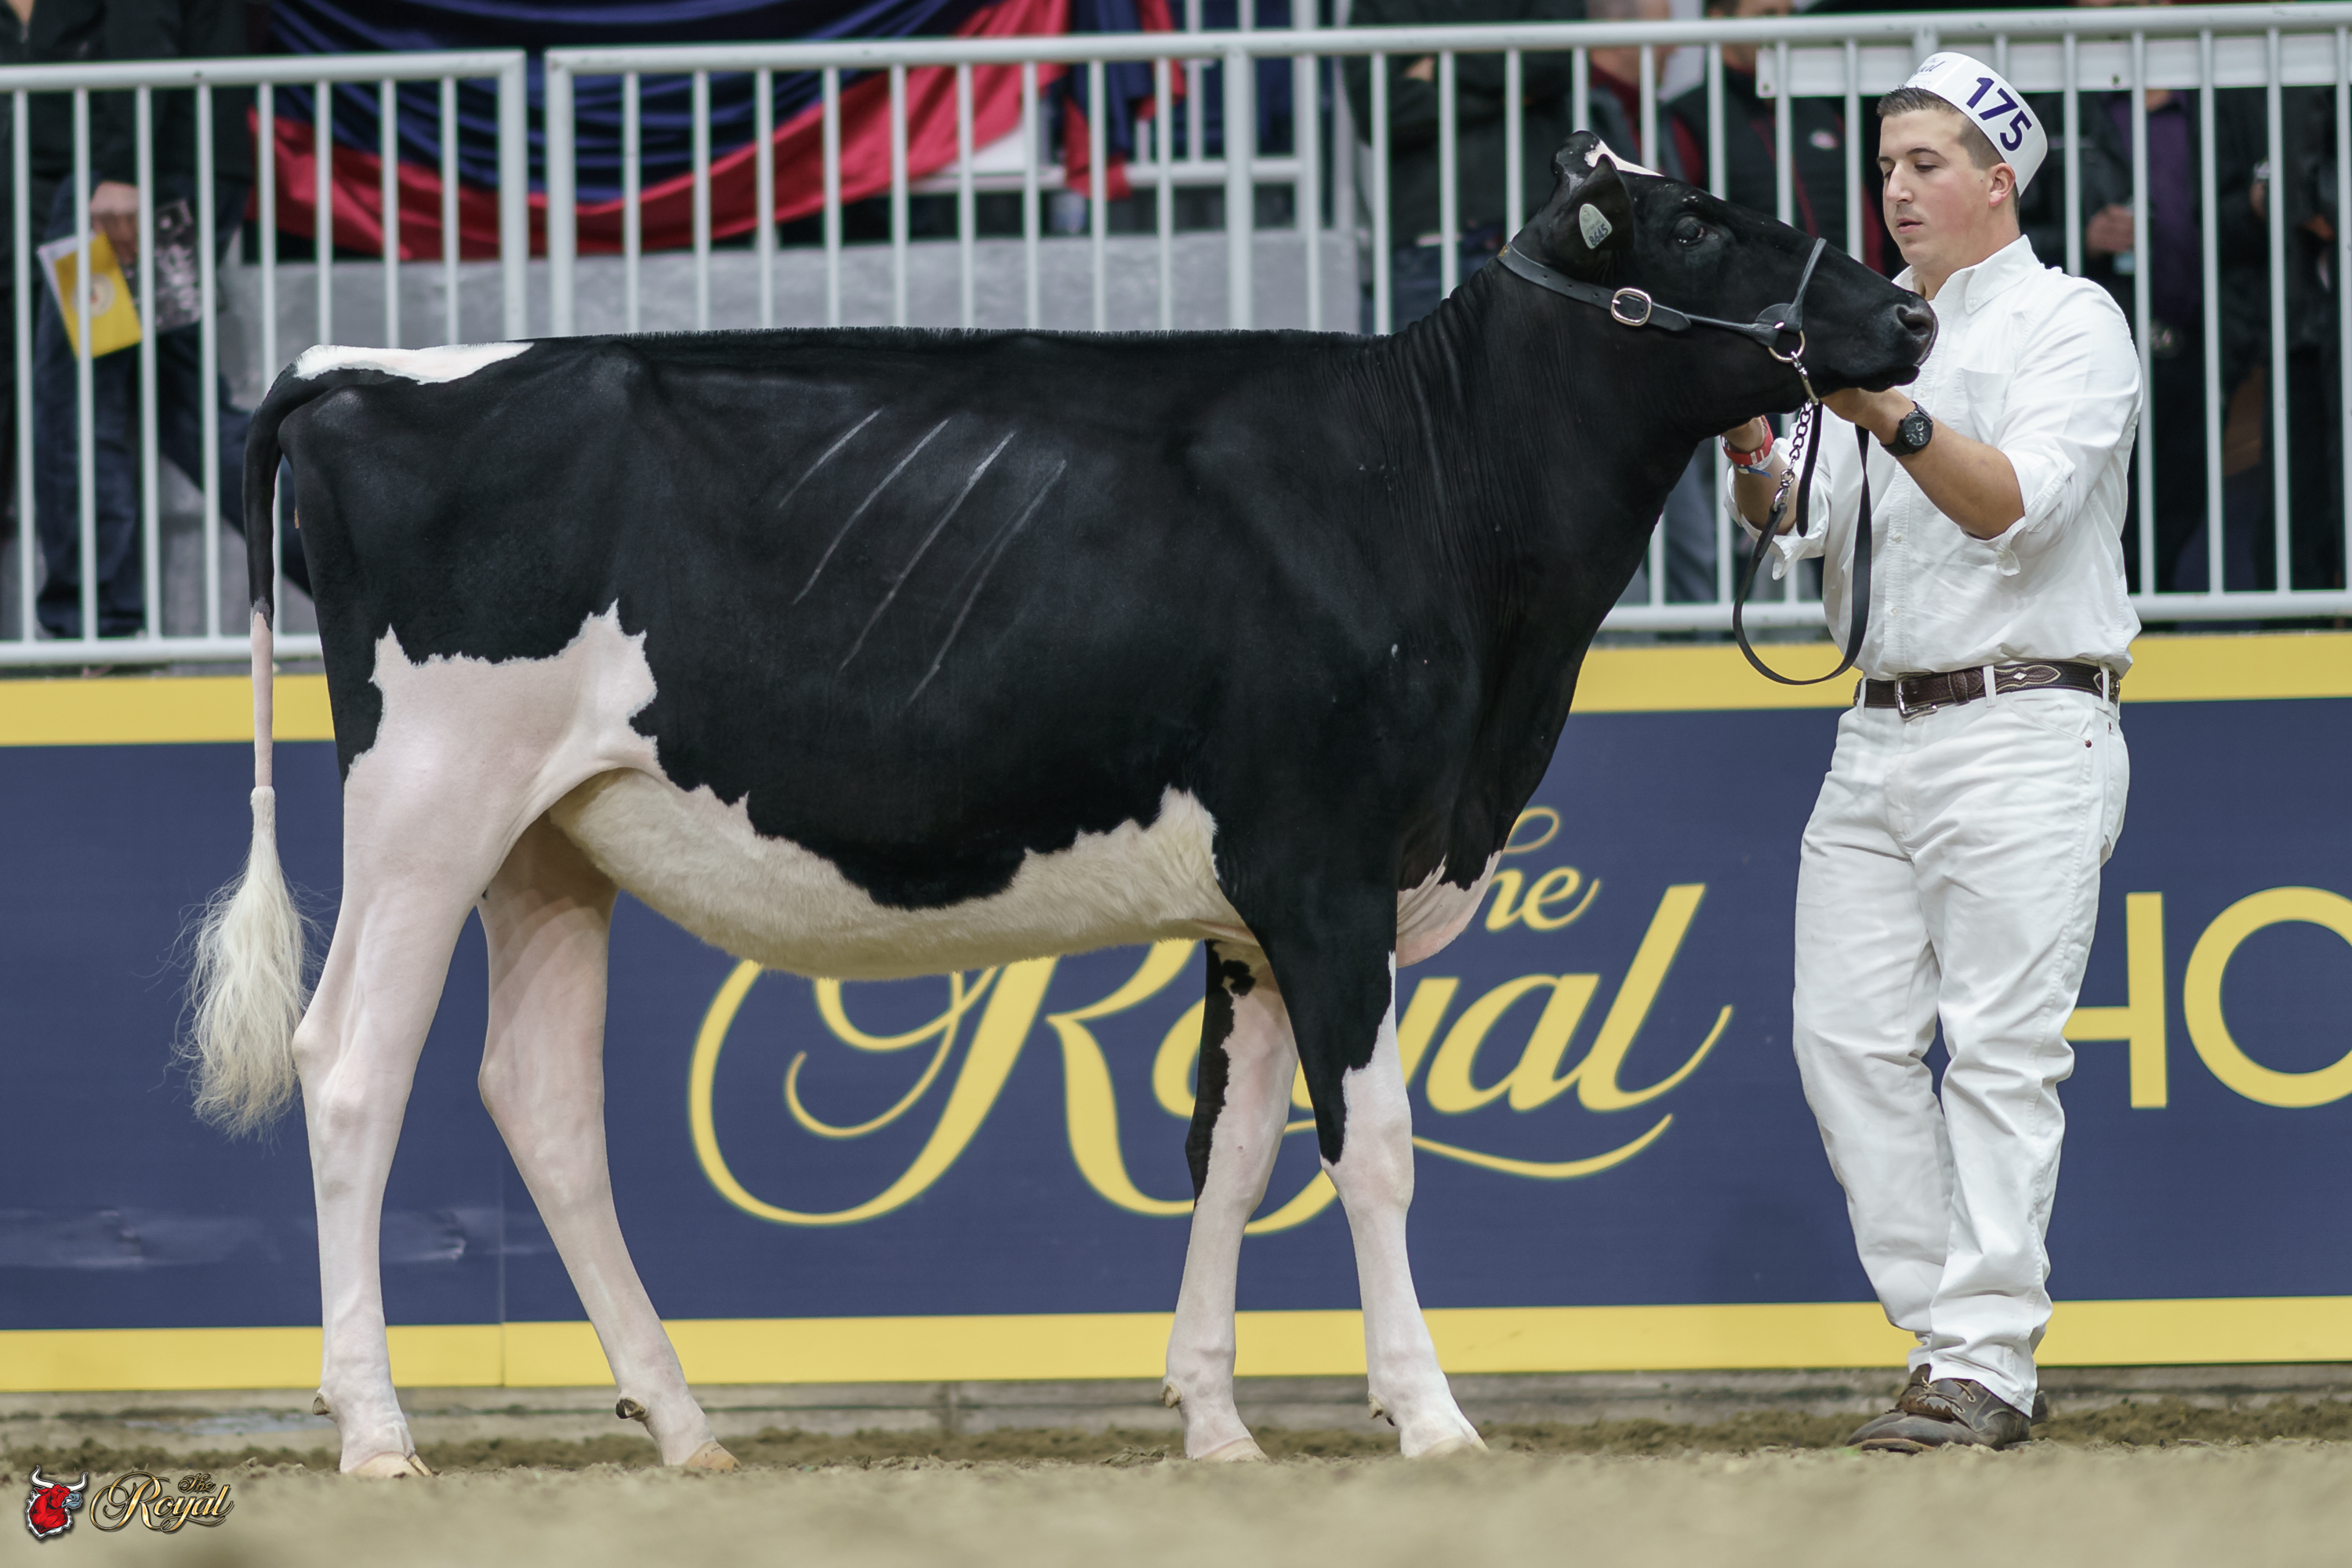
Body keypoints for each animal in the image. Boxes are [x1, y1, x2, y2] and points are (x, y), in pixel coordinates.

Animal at [188, 131, 1931, 1477]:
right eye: (1696, 223)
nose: (1907, 305)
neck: (1426, 492)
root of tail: (360, 375)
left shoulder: (1256, 911)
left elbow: (1230, 1147)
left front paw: (1215, 1422)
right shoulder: (1330, 873)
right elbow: (1367, 1146)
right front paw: (1431, 1416)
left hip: (553, 840)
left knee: (542, 1100)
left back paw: (682, 1425)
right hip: (430, 798)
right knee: (351, 1066)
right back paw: (376, 1432)